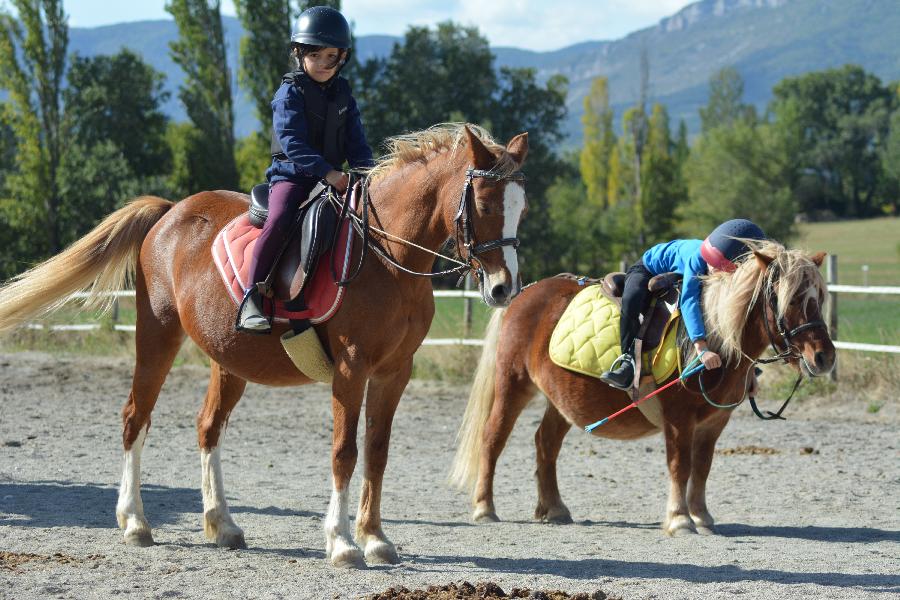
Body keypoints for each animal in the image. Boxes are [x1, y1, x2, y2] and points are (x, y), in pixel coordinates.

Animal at [0, 123, 532, 568]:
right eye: (485, 204)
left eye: (521, 208)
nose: (504, 289)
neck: (385, 256)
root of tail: (169, 213)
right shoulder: (352, 369)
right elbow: (345, 451)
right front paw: (342, 543)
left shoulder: (394, 372)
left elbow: (377, 452)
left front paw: (376, 538)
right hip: (158, 335)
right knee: (136, 417)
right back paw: (134, 522)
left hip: (228, 360)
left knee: (208, 427)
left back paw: (222, 525)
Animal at [450, 243, 836, 536]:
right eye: (791, 301)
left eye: (818, 298)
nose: (824, 357)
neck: (712, 339)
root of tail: (525, 293)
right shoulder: (679, 419)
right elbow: (681, 465)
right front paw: (680, 519)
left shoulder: (713, 424)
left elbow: (702, 467)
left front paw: (701, 517)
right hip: (513, 384)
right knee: (492, 438)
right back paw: (484, 507)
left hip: (561, 398)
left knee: (545, 443)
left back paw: (554, 508)